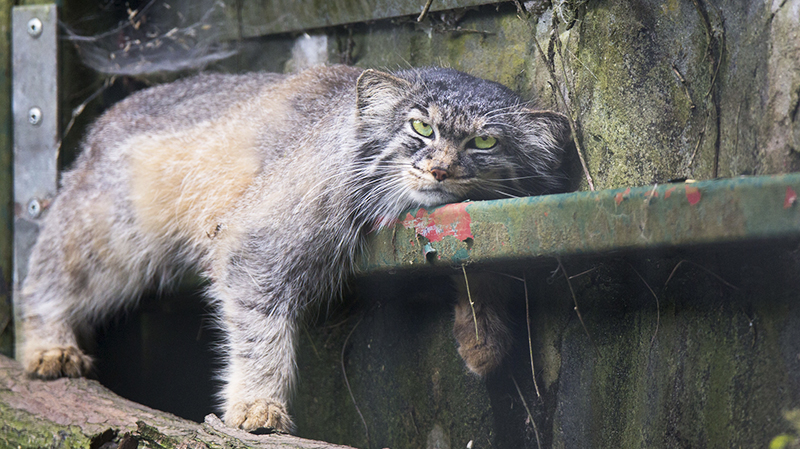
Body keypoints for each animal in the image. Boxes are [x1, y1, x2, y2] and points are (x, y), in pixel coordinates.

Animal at [18, 65, 568, 432]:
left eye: (485, 143)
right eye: (420, 127)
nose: (440, 170)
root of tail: (107, 116)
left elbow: (480, 259)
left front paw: (484, 338)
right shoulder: (256, 243)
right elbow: (261, 332)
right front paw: (258, 404)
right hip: (112, 235)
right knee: (45, 275)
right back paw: (49, 344)